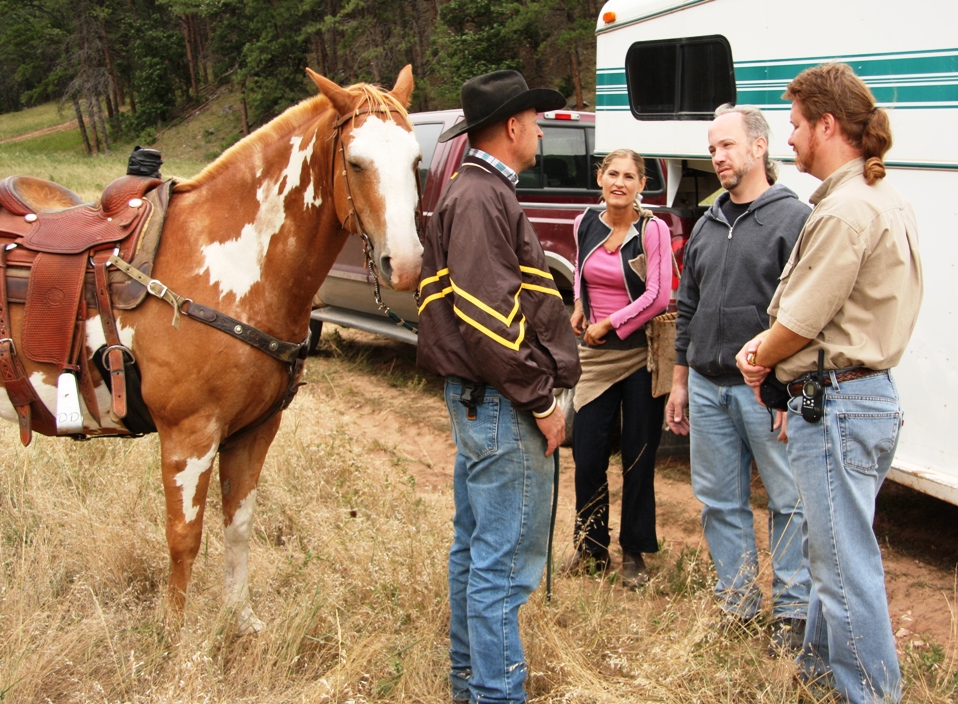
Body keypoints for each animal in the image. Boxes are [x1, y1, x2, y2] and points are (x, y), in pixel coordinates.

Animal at [0, 66, 423, 632]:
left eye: (416, 160)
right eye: (356, 162)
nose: (407, 263)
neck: (234, 267)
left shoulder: (254, 430)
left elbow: (237, 524)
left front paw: (240, 620)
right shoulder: (189, 435)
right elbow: (184, 539)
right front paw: (175, 641)